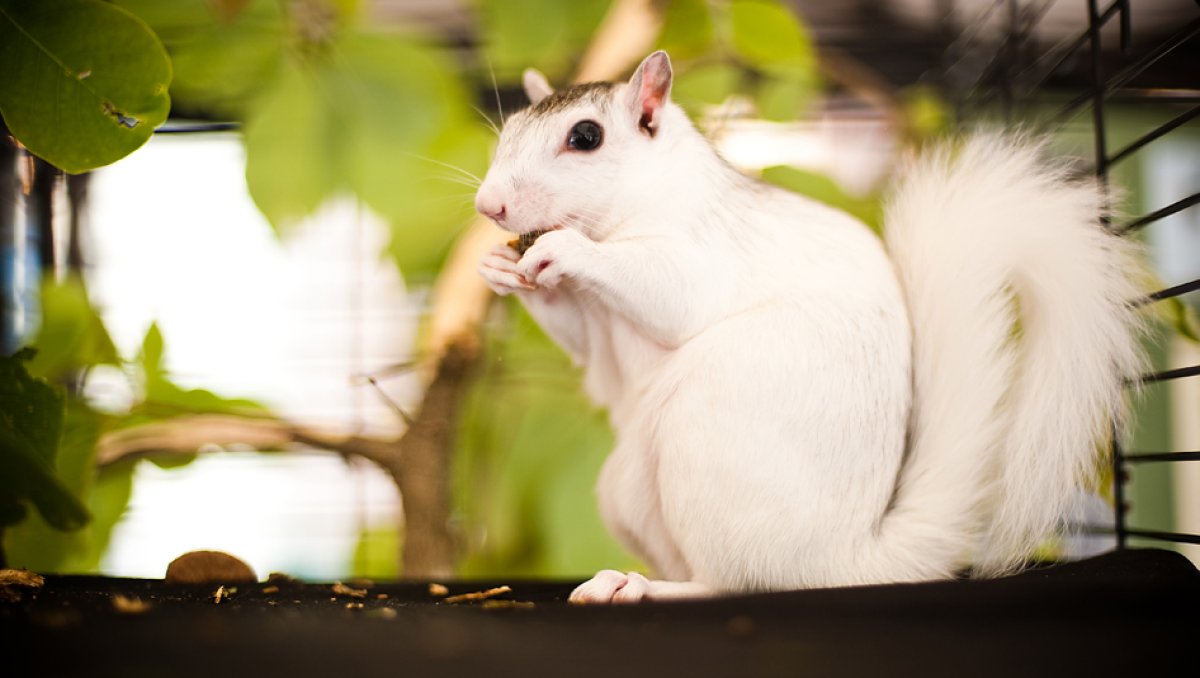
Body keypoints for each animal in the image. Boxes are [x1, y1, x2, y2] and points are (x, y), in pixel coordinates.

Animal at [472, 52, 1137, 602]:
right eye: (509, 129)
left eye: (586, 136)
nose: (488, 207)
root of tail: (839, 562)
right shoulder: (594, 328)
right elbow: (583, 345)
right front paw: (498, 269)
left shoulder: (706, 252)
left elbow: (670, 293)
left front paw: (565, 251)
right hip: (624, 491)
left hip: (705, 446)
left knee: (734, 582)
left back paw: (647, 589)